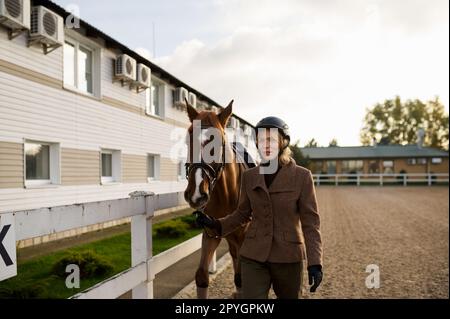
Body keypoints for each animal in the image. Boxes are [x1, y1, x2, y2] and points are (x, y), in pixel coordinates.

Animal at [183, 100, 253, 300]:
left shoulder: (244, 237)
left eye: (218, 141)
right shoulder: (211, 232)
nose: (196, 193)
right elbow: (201, 276)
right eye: (188, 139)